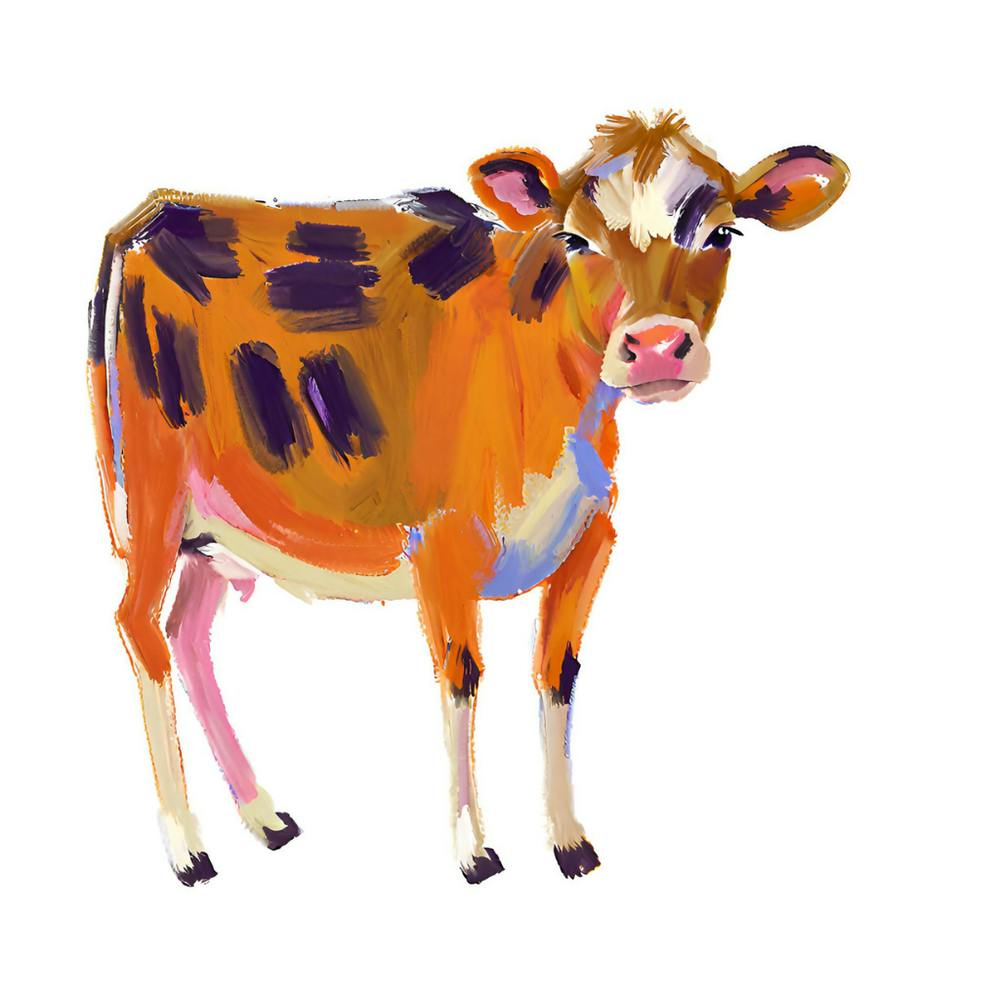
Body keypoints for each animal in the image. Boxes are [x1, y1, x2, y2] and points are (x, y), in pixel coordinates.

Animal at [88, 110, 848, 885]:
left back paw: (264, 816)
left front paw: (569, 841)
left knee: (189, 634)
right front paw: (473, 848)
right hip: (151, 496)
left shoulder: (589, 541)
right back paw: (188, 847)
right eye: (575, 238)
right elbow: (461, 679)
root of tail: (158, 213)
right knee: (140, 628)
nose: (659, 345)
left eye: (723, 234)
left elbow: (557, 676)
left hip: (218, 526)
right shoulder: (442, 546)